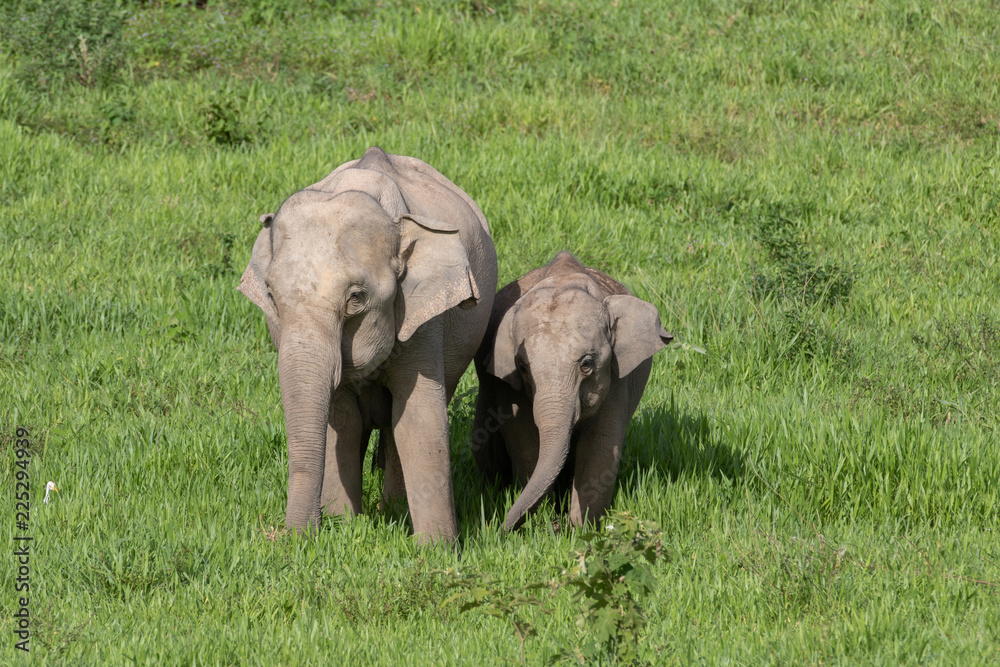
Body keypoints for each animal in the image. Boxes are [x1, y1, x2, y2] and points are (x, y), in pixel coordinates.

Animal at [238, 146, 497, 543]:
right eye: (270, 294)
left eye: (356, 297)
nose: (293, 539)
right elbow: (342, 421)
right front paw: (342, 524)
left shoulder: (422, 321)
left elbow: (419, 419)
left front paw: (436, 549)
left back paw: (394, 508)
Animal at [472, 252, 672, 530]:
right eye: (522, 367)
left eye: (586, 364)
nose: (498, 529)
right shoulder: (508, 384)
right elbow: (525, 442)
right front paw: (541, 522)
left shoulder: (617, 377)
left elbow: (600, 446)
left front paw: (580, 529)